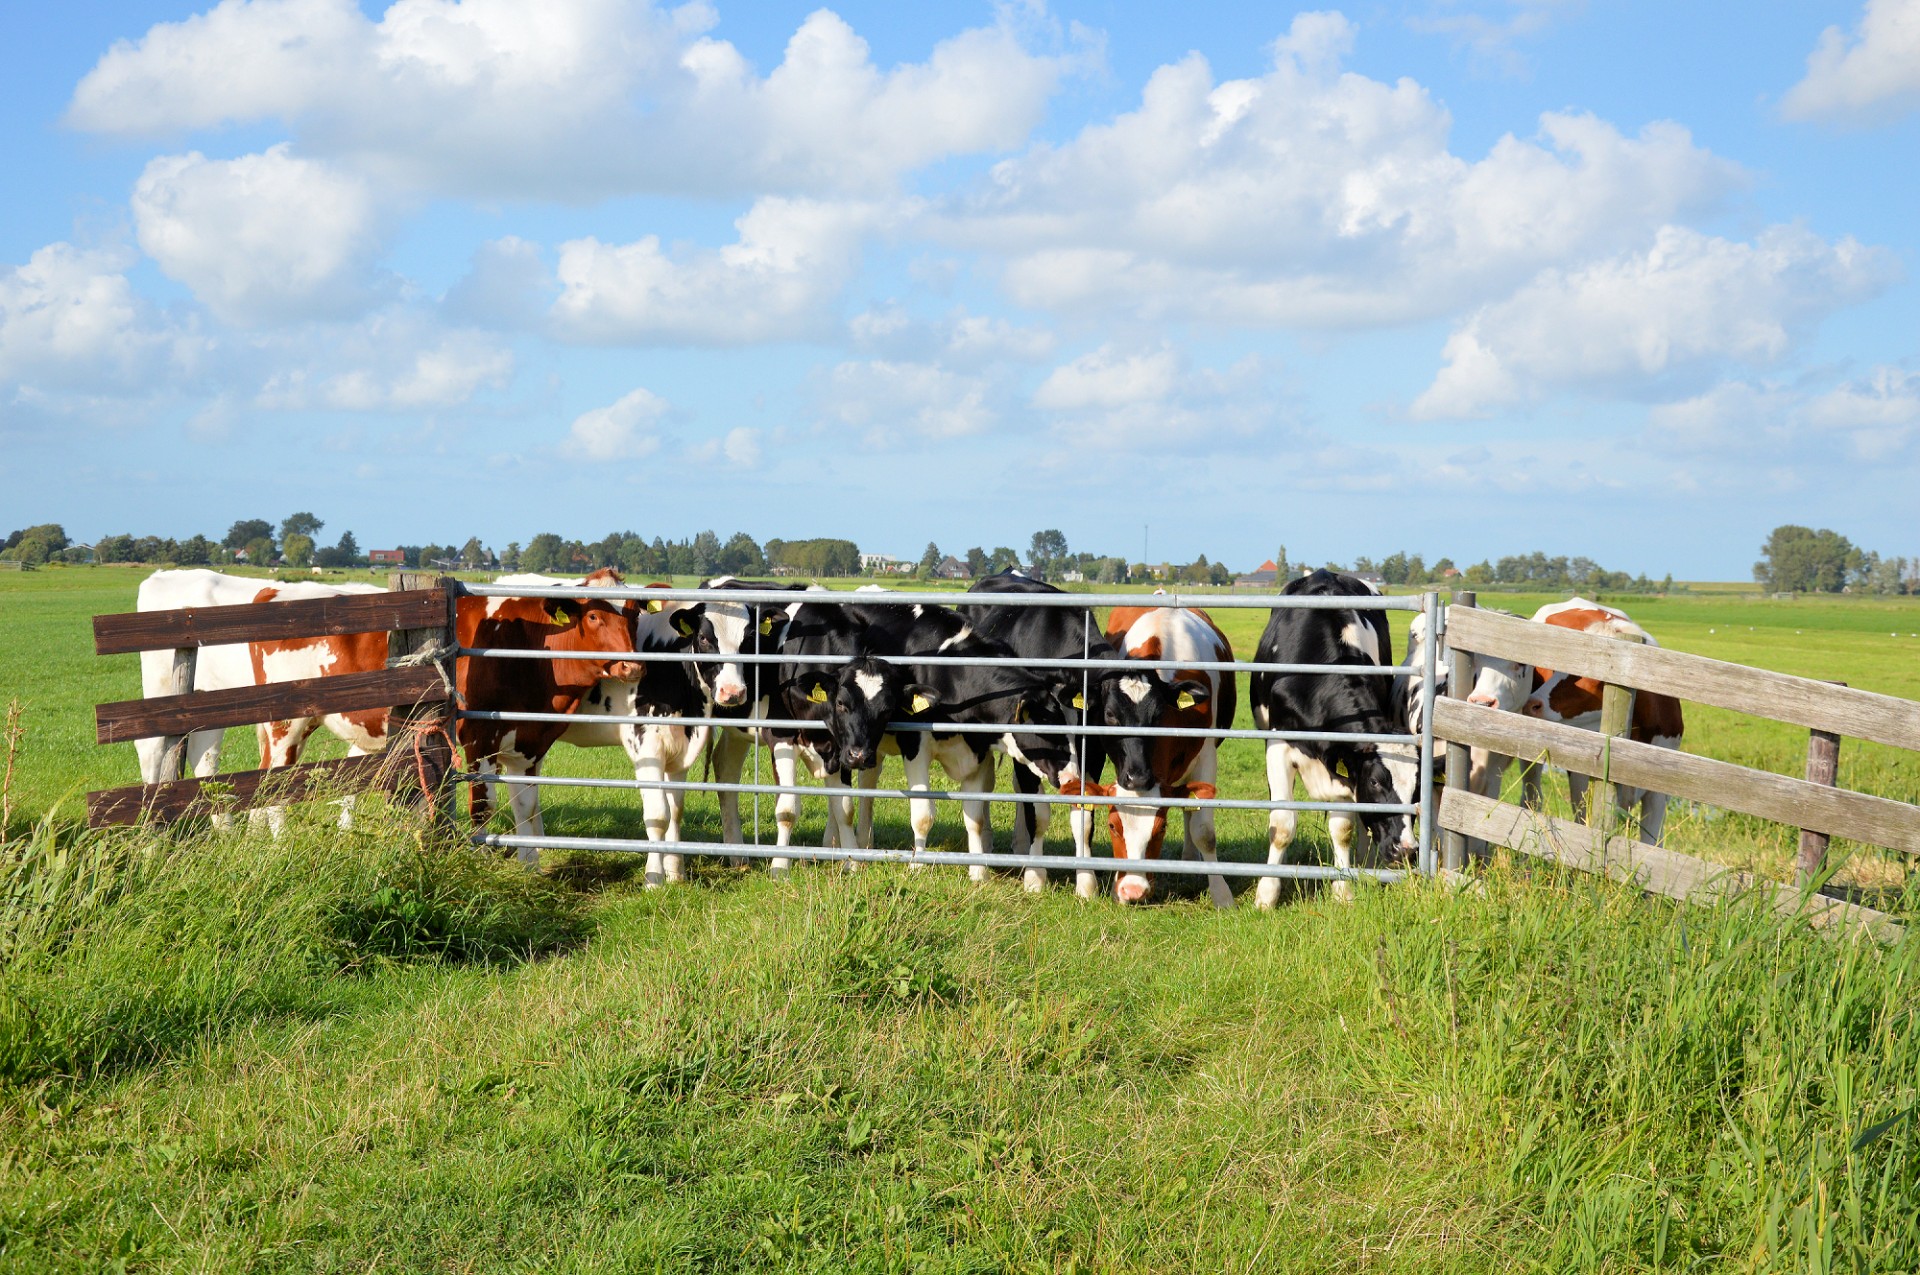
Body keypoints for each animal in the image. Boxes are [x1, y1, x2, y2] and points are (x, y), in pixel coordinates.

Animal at [1251, 568, 1420, 906]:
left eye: (1417, 789)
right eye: (1376, 782)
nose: (1406, 850)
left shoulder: (1346, 762)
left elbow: (1342, 826)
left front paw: (1343, 889)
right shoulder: (1278, 746)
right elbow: (1282, 825)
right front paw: (1267, 894)